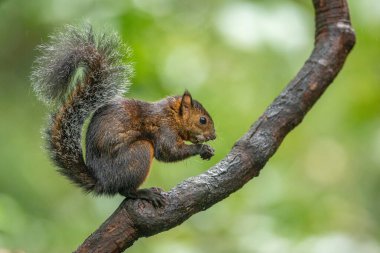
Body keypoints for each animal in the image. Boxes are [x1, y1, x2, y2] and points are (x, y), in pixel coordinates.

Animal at [31, 24, 215, 208]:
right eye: (202, 120)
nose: (214, 136)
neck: (172, 116)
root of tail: (103, 182)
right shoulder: (164, 129)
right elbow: (169, 151)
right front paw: (202, 148)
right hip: (139, 153)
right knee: (125, 190)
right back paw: (145, 193)